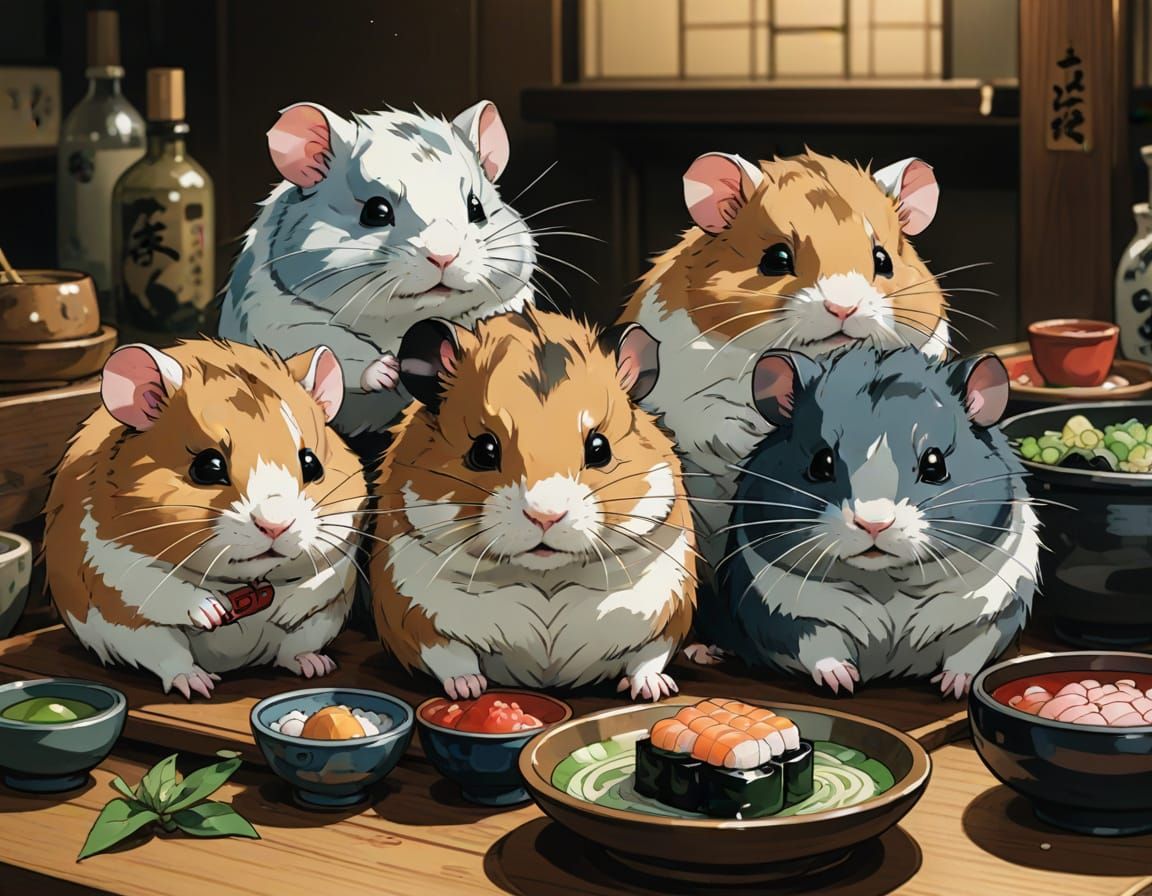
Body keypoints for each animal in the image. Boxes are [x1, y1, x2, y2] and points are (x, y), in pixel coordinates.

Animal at [44, 338, 369, 699]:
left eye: (312, 464)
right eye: (207, 467)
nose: (275, 526)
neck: (248, 581)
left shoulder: (346, 538)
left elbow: (326, 576)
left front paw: (284, 610)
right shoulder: (109, 555)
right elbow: (154, 583)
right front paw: (214, 612)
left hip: (319, 625)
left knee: (291, 651)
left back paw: (316, 665)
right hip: (136, 634)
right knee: (170, 659)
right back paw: (198, 683)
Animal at [218, 99, 538, 437]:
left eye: (476, 208)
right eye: (376, 211)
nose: (443, 257)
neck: (399, 323)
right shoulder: (276, 318)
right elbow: (326, 339)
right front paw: (386, 372)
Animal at [370, 307, 696, 702]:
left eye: (599, 448)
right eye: (483, 450)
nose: (545, 517)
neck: (545, 579)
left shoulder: (668, 610)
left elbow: (648, 656)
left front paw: (653, 691)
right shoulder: (414, 613)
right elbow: (451, 655)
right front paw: (469, 690)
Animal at [695, 344, 1040, 699]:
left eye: (934, 464)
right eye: (821, 464)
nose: (873, 524)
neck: (886, 581)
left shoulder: (992, 610)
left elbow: (971, 650)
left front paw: (952, 688)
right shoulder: (782, 608)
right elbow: (816, 643)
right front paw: (844, 680)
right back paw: (704, 652)